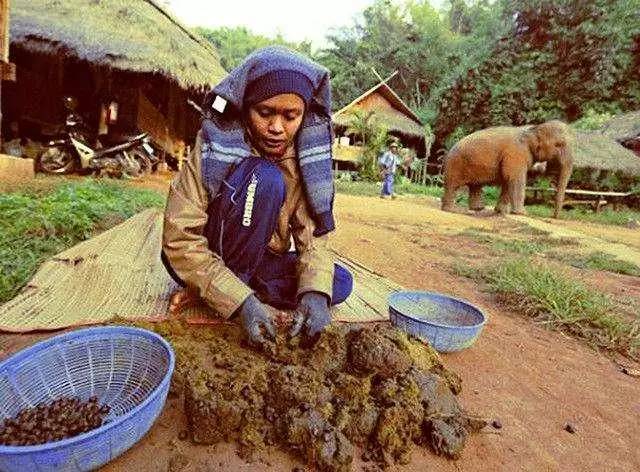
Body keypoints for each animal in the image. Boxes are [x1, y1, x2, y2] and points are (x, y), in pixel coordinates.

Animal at [440, 121, 576, 218]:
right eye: (559, 144)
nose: (552, 217)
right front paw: (522, 213)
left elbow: (508, 180)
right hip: (455, 165)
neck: (533, 128)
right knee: (453, 186)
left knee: (475, 186)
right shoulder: (515, 153)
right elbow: (515, 179)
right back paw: (454, 210)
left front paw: (501, 211)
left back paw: (477, 209)